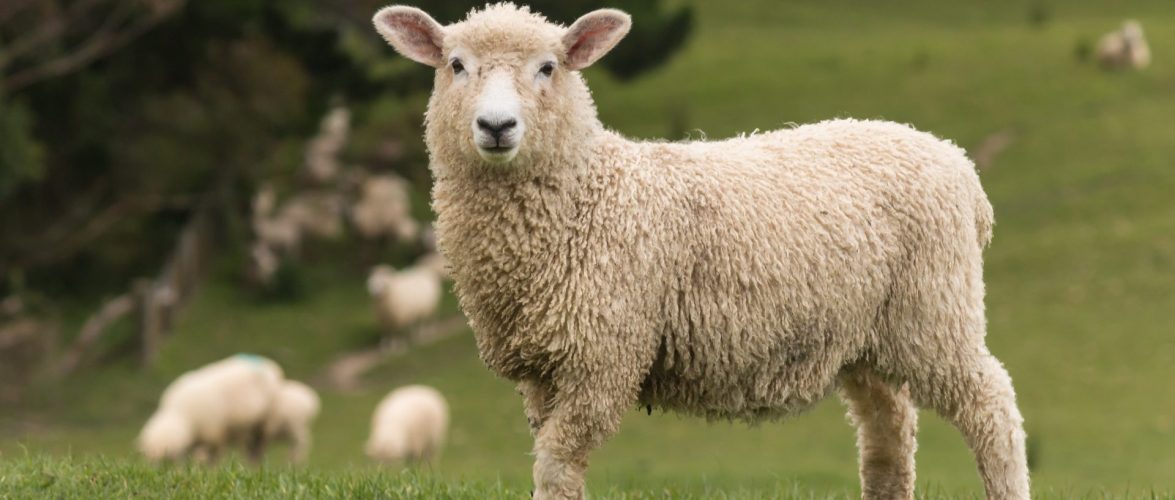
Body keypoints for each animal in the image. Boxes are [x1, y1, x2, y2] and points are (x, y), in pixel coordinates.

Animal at [138, 354, 283, 463]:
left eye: (167, 462)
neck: (180, 414)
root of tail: (269, 364)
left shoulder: (216, 434)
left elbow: (215, 458)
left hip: (265, 423)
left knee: (258, 448)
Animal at [374, 4, 1031, 499]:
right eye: (456, 65)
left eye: (548, 67)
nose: (496, 127)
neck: (589, 193)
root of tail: (958, 164)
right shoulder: (543, 368)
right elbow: (551, 454)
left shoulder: (602, 358)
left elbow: (557, 462)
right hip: (867, 335)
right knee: (889, 428)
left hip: (935, 310)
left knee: (991, 405)